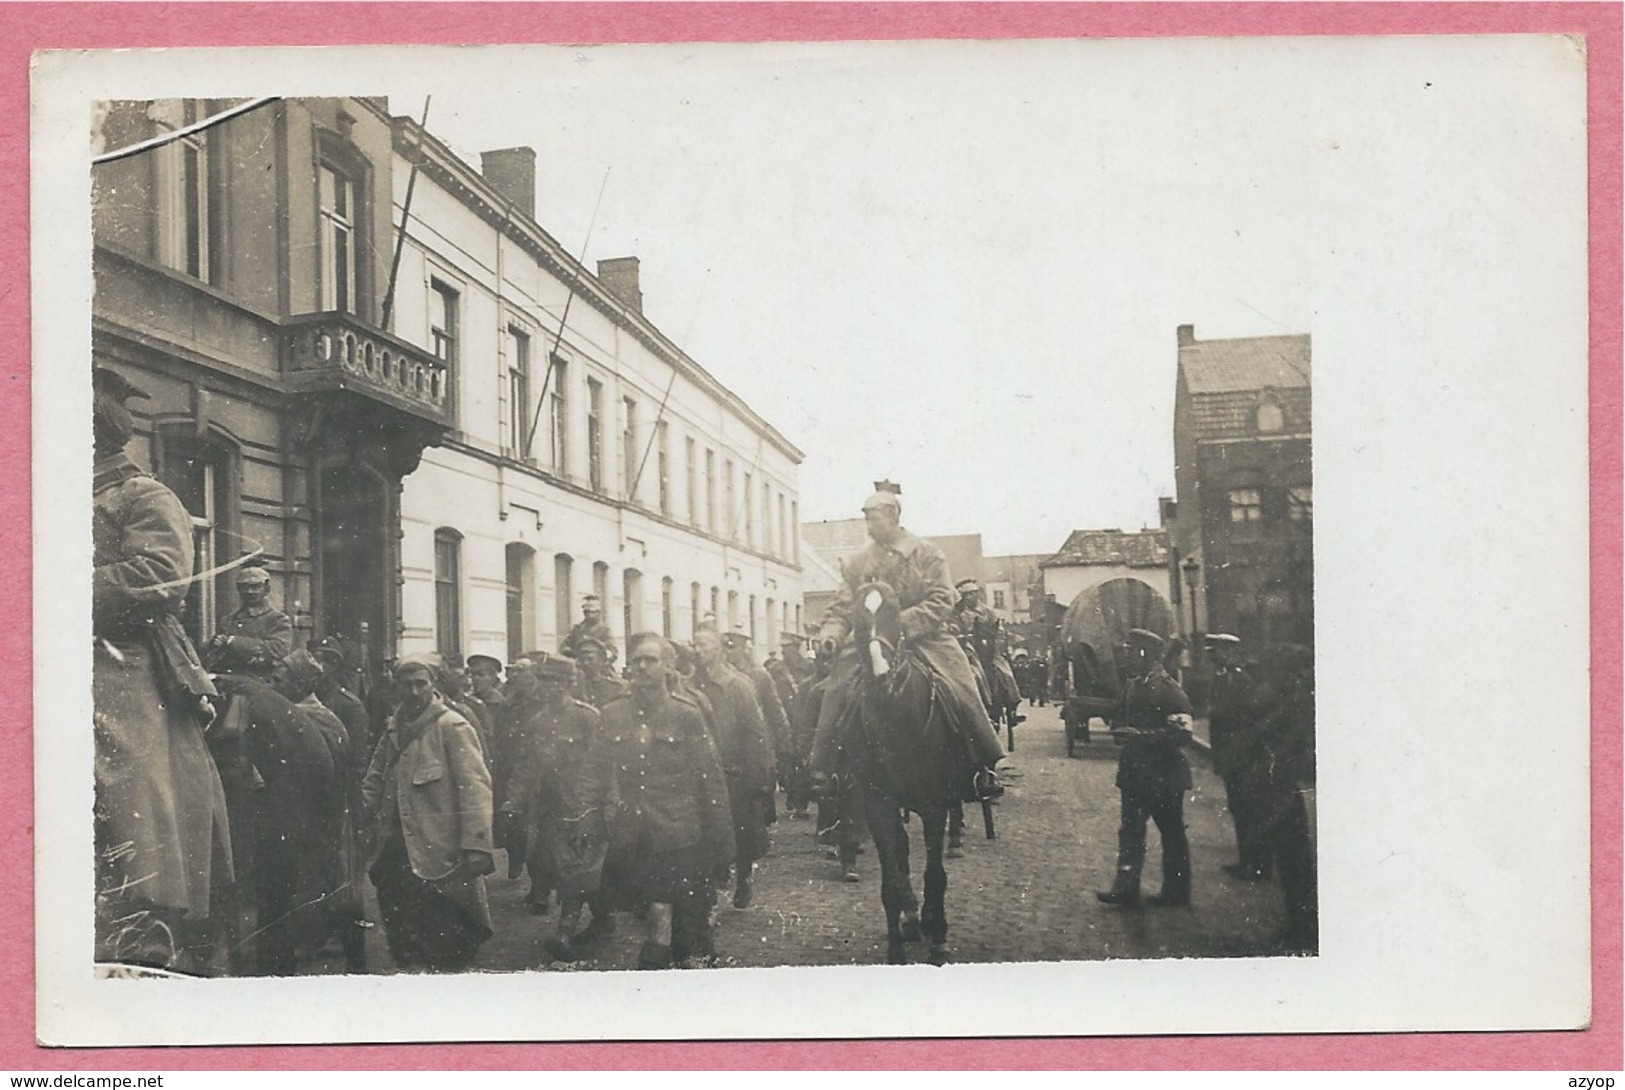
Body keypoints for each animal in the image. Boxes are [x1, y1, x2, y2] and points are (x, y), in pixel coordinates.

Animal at [838, 578, 975, 961]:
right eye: (856, 617)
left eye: (895, 612)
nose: (881, 676)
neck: (895, 721)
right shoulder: (878, 807)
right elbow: (892, 880)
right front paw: (896, 948)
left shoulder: (934, 805)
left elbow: (935, 873)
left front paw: (939, 936)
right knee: (901, 855)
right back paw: (912, 917)